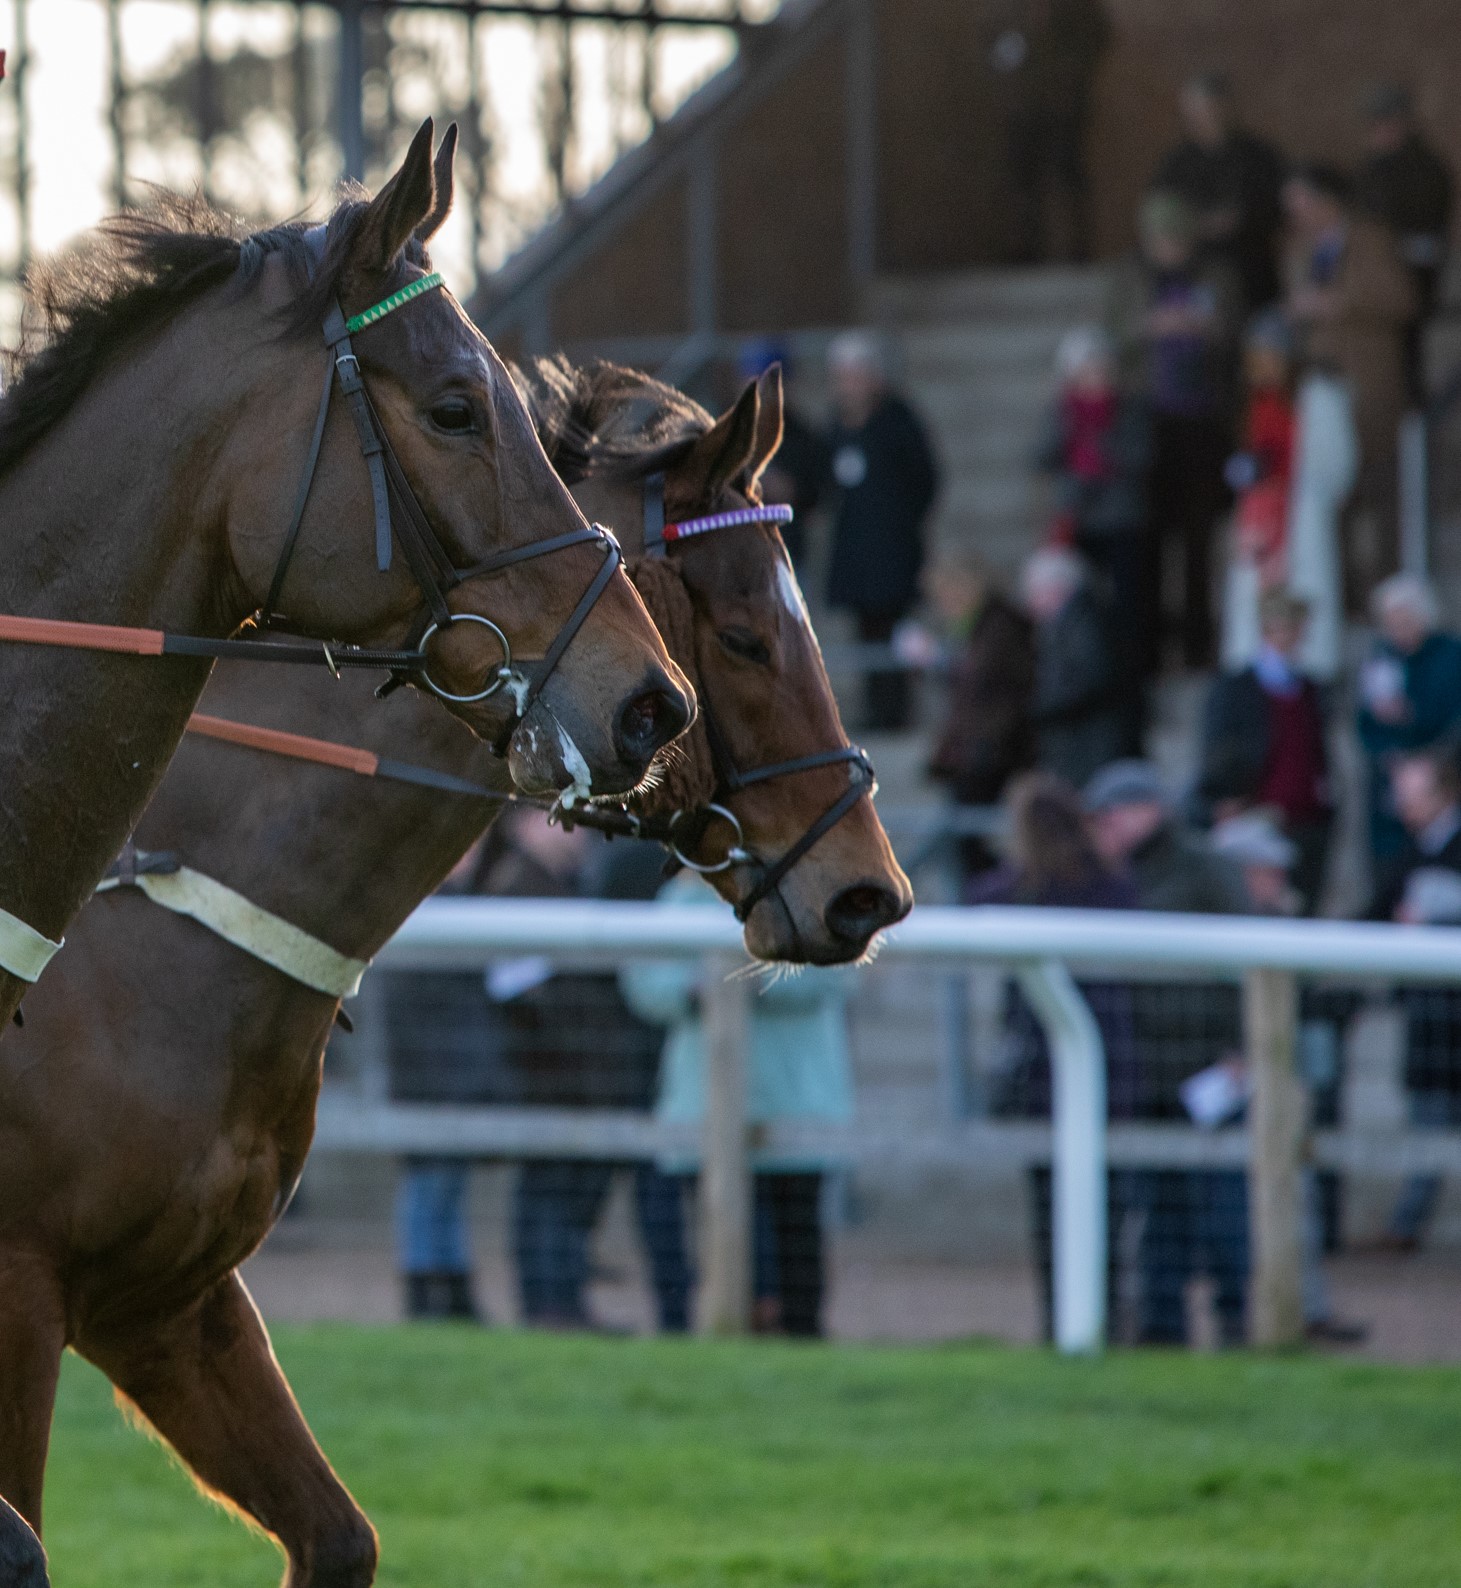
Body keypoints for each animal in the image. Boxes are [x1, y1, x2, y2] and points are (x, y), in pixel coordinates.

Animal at [0, 362, 910, 1587]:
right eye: (745, 635)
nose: (868, 891)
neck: (156, 909)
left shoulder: (165, 1298)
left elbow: (338, 1536)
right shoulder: (24, 1290)